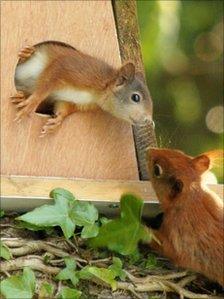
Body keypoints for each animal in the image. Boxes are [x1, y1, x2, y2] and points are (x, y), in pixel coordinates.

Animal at [11, 41, 152, 137]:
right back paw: (27, 53)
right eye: (135, 97)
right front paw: (30, 105)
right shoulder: (73, 69)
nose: (148, 121)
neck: (99, 91)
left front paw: (56, 122)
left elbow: (64, 108)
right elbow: (46, 84)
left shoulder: (74, 102)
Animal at [146, 149, 223, 288]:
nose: (148, 151)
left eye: (157, 169)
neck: (191, 200)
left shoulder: (178, 232)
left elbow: (168, 249)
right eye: (178, 152)